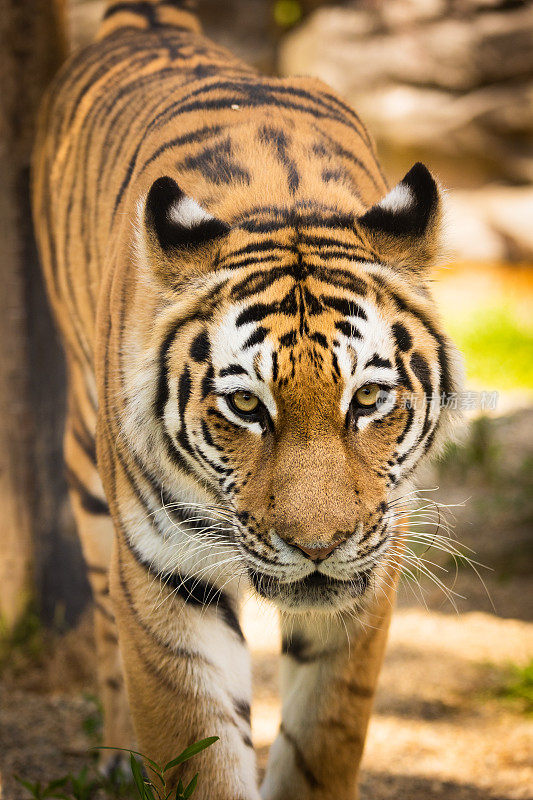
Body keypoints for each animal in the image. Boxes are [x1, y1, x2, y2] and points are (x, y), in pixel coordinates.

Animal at [31, 0, 462, 796]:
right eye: (246, 408)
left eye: (368, 398)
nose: (319, 547)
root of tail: (145, 19)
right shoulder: (165, 577)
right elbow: (197, 752)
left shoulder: (371, 566)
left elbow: (323, 740)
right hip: (87, 469)